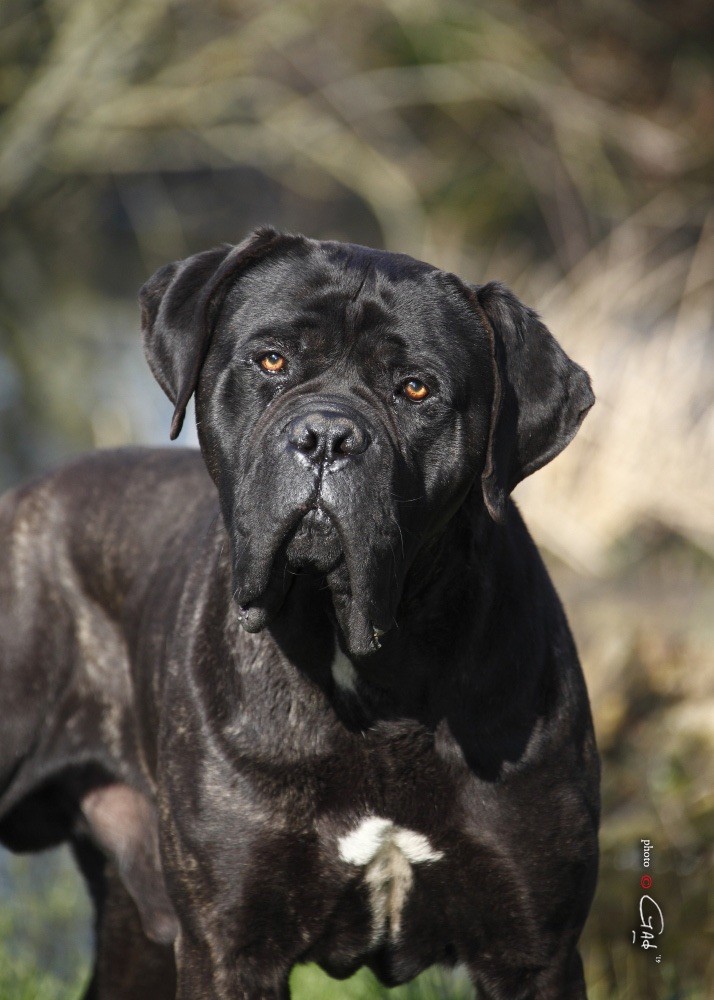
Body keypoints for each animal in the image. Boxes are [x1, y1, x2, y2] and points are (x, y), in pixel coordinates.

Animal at [0, 230, 596, 996]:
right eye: (272, 360)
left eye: (416, 387)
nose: (327, 437)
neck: (369, 669)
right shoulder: (230, 947)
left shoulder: (533, 952)